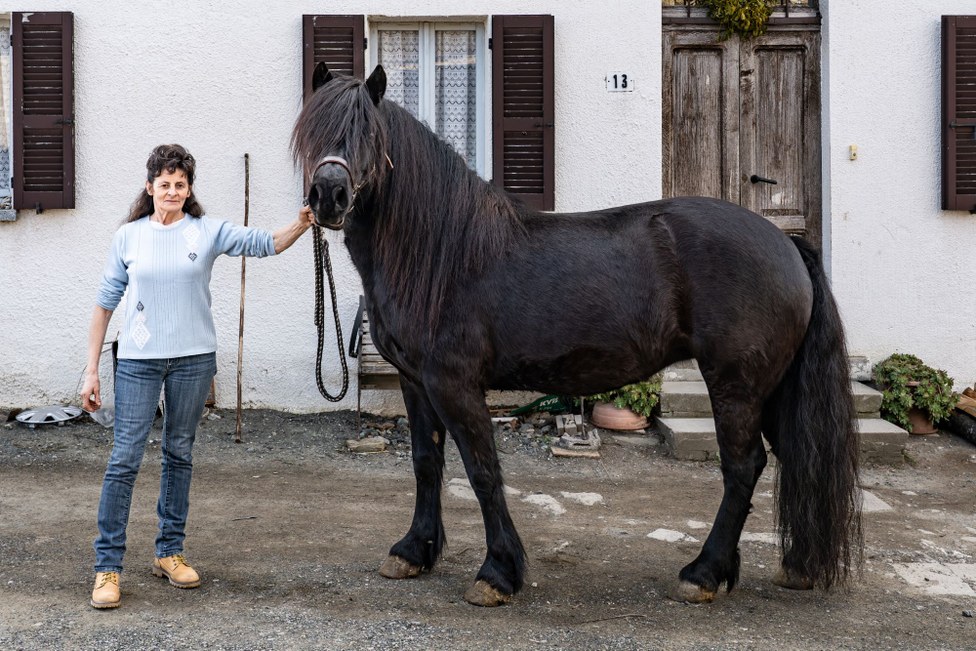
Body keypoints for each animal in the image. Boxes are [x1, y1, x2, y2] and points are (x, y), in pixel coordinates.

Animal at [292, 63, 860, 608]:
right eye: (311, 131)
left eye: (367, 133)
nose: (328, 196)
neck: (442, 251)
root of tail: (786, 245)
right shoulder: (415, 382)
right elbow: (427, 463)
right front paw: (413, 551)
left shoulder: (455, 385)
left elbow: (482, 471)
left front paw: (497, 574)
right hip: (773, 388)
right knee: (794, 457)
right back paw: (794, 567)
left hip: (736, 385)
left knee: (744, 467)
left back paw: (702, 573)